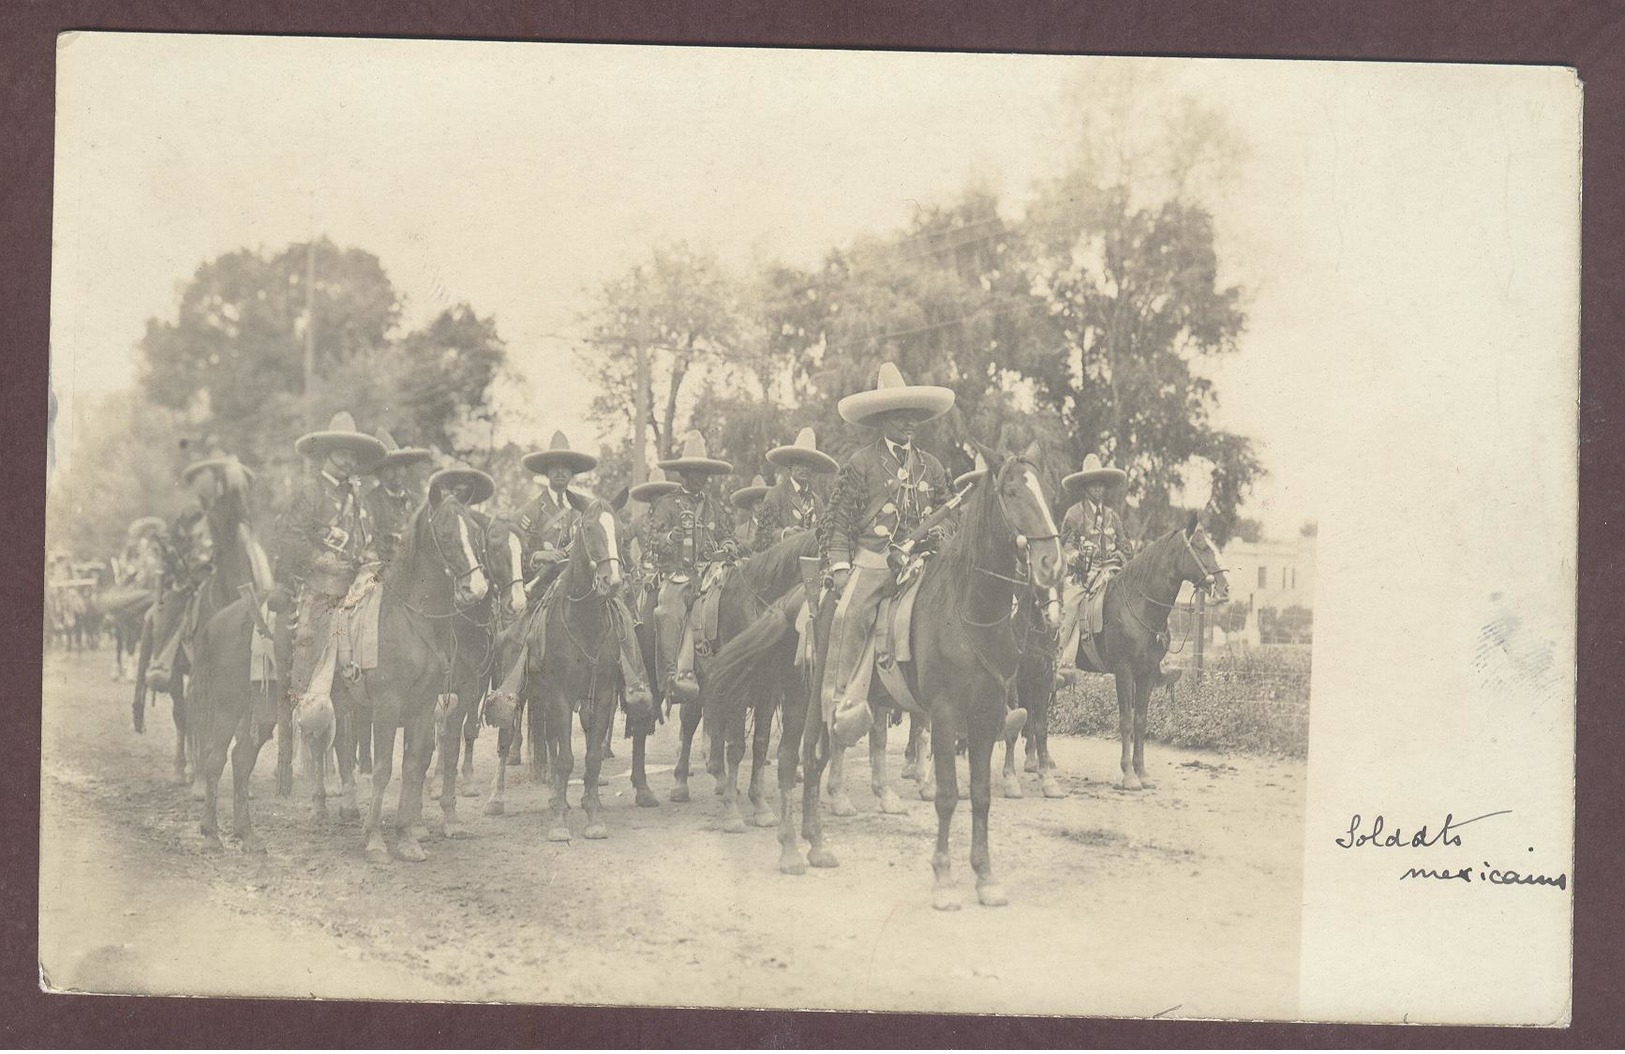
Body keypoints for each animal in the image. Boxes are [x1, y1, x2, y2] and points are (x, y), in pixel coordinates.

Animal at [711, 441, 1066, 902]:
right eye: (1011, 491)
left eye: (1047, 493)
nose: (1050, 564)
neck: (967, 612)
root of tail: (793, 602)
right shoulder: (946, 714)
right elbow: (948, 794)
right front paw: (944, 880)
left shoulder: (987, 716)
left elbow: (981, 795)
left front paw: (986, 878)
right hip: (797, 700)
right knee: (790, 760)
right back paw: (789, 850)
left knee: (815, 760)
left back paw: (817, 845)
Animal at [1066, 509, 1228, 789]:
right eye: (1202, 547)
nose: (1224, 589)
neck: (1139, 606)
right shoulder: (1124, 671)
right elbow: (1125, 721)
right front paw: (1129, 776)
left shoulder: (1147, 673)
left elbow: (1140, 721)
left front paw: (1142, 772)